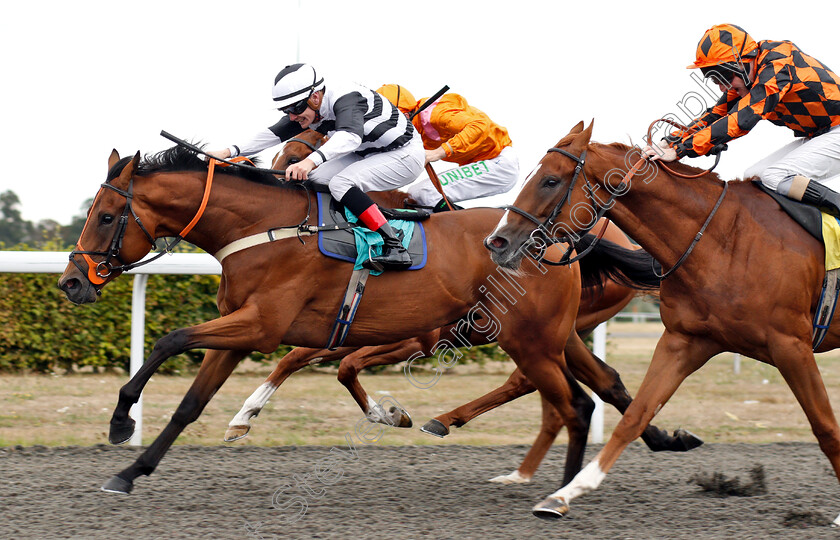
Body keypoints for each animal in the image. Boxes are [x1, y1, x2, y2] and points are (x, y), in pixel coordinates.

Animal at [57, 142, 656, 494]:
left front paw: (120, 422)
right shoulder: (246, 331)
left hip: (528, 338)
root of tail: (555, 237)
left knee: (567, 399)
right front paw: (131, 471)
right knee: (593, 389)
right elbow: (191, 405)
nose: (71, 282)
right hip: (550, 336)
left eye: (106, 216)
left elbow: (169, 339)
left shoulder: (263, 326)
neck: (267, 227)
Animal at [482, 120, 840, 520]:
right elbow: (635, 415)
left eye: (550, 181)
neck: (725, 240)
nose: (497, 242)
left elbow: (826, 428)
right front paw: (563, 495)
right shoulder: (684, 340)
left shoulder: (790, 345)